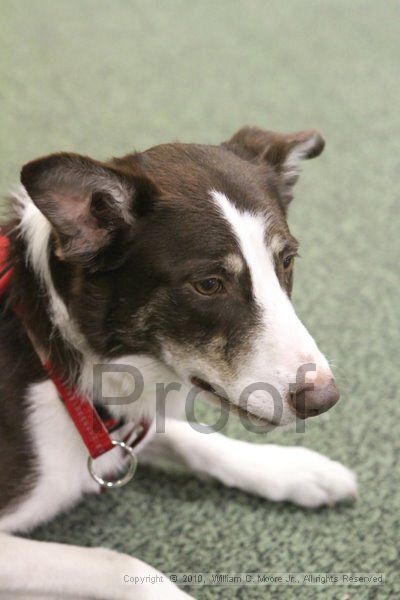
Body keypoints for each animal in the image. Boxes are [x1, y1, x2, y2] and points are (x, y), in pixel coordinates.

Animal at [0, 127, 356, 600]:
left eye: (286, 261)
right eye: (208, 284)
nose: (325, 399)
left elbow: (191, 438)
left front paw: (292, 468)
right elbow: (118, 563)